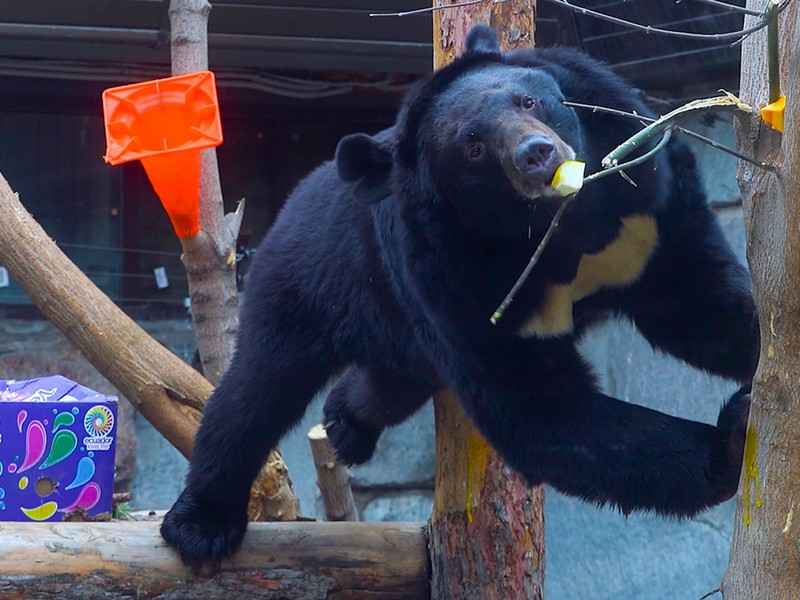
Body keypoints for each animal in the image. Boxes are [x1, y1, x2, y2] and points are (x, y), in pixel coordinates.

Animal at [160, 25, 758, 568]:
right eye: (473, 147)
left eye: (528, 100)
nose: (538, 154)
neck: (554, 226)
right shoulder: (455, 281)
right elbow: (540, 409)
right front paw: (730, 441)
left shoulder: (646, 215)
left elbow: (699, 302)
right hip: (307, 281)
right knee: (255, 393)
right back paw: (201, 525)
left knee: (386, 383)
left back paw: (346, 423)